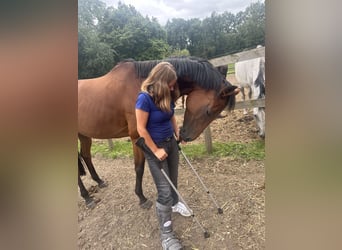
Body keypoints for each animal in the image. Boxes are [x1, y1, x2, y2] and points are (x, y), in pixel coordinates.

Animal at [79, 57, 239, 209]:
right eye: (209, 111)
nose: (186, 136)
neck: (143, 86)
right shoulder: (138, 138)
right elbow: (139, 168)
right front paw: (141, 198)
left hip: (84, 135)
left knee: (86, 156)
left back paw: (99, 181)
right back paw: (87, 197)